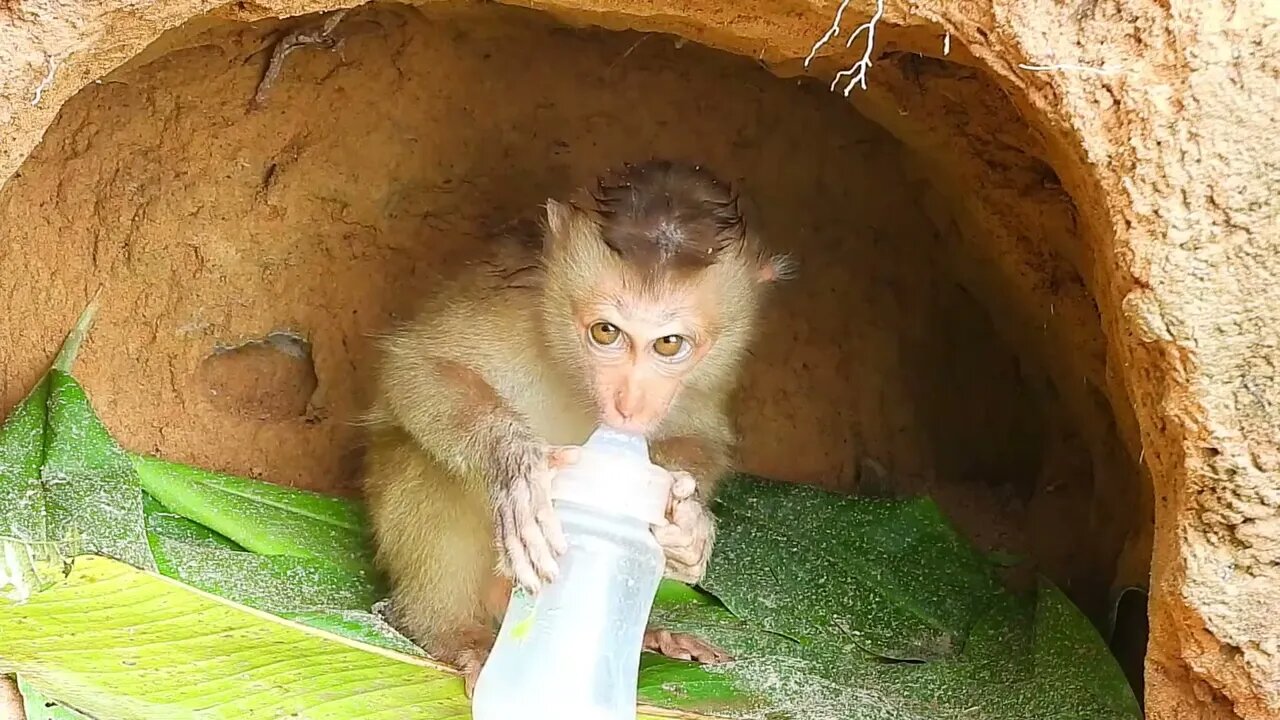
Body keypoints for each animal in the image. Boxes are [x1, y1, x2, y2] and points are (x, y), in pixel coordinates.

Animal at [360, 158, 793, 691]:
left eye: (668, 344)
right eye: (606, 332)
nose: (629, 403)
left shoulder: (712, 375)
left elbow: (702, 438)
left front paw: (685, 520)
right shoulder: (506, 303)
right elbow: (417, 370)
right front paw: (518, 468)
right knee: (425, 461)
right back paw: (448, 629)